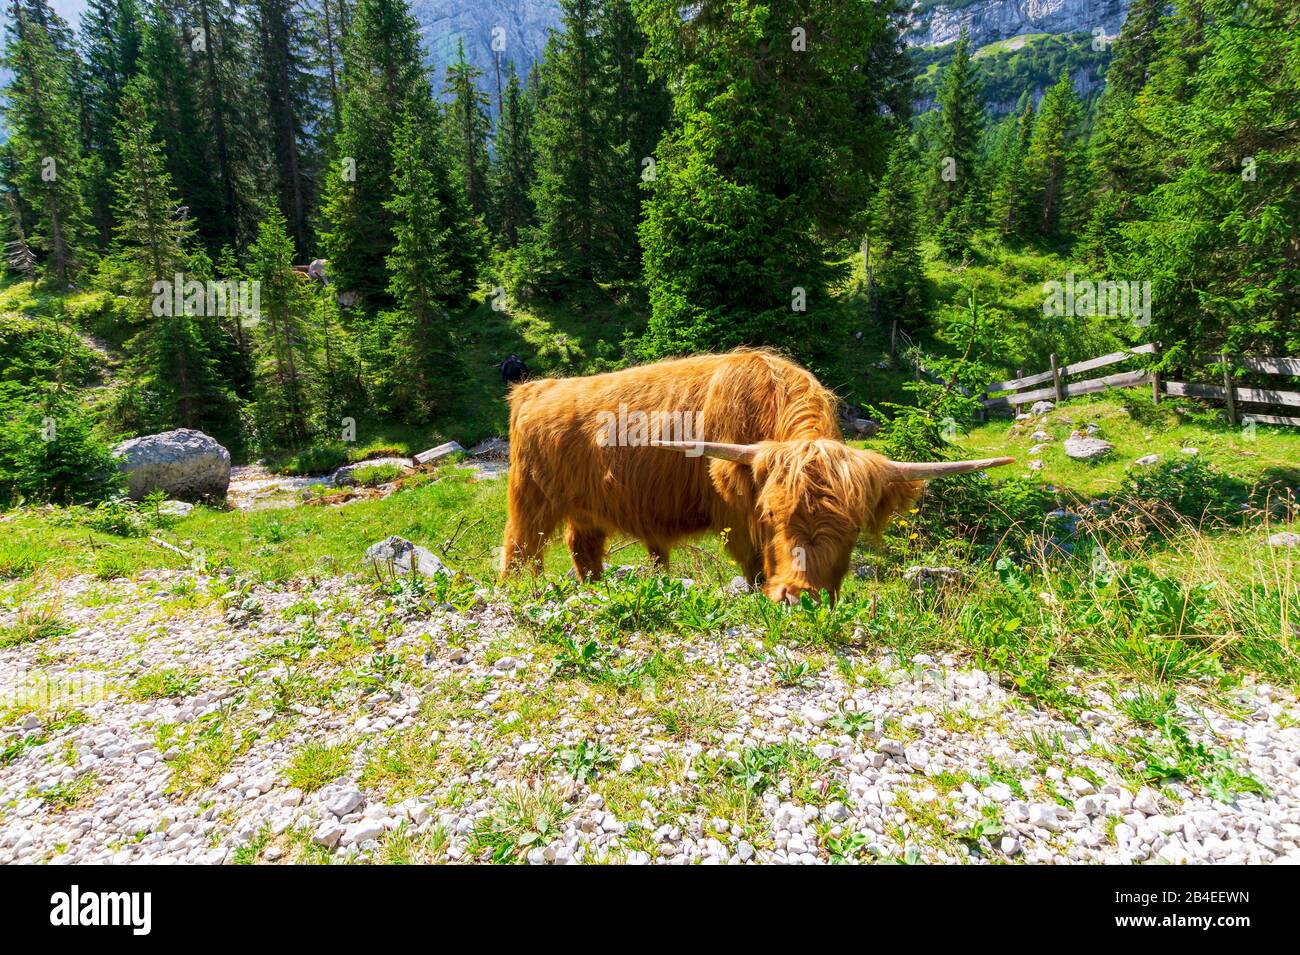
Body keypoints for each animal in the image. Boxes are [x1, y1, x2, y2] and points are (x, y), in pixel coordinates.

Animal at [501, 349, 1012, 603]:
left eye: (851, 531)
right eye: (772, 517)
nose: (799, 596)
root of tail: (534, 387)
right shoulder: (736, 514)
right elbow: (751, 562)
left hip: (587, 507)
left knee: (582, 546)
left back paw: (596, 587)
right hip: (531, 498)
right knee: (520, 548)